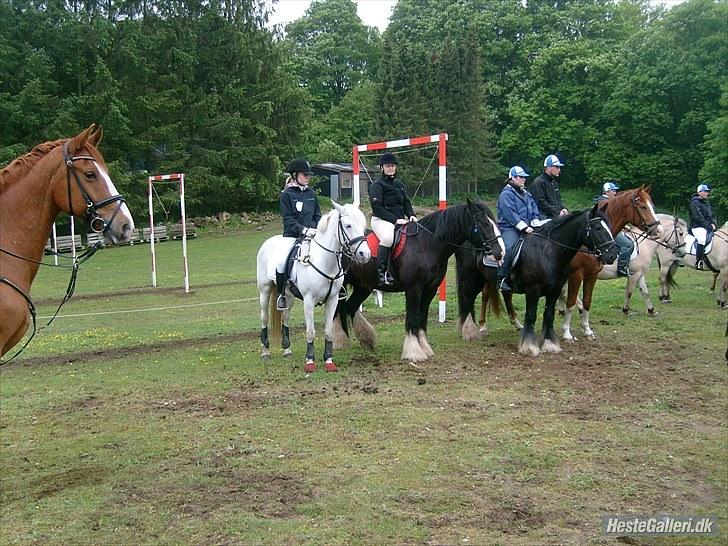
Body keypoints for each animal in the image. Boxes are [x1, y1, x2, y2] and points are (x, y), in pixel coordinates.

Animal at [256, 202, 370, 372]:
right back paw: (265, 352)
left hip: (288, 295)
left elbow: (328, 331)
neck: (324, 261)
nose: (365, 254)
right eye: (348, 225)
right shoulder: (309, 301)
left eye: (362, 225)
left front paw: (329, 361)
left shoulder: (333, 300)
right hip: (265, 290)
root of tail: (268, 242)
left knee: (285, 317)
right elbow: (310, 332)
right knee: (264, 317)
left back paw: (287, 349)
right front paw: (310, 362)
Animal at [334, 200, 500, 362]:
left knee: (350, 306)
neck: (426, 244)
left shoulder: (430, 290)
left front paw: (425, 347)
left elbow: (422, 318)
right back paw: (340, 340)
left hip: (363, 286)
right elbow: (412, 317)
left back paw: (363, 339)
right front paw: (414, 351)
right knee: (339, 308)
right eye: (483, 222)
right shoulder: (414, 289)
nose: (498, 252)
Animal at [458, 202, 616, 354]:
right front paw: (529, 346)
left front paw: (549, 344)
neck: (548, 251)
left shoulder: (555, 290)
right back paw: (470, 329)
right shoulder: (533, 291)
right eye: (597, 227)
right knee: (469, 299)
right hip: (471, 280)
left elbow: (549, 315)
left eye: (608, 226)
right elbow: (531, 316)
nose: (613, 255)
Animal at [560, 187, 664, 340]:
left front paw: (587, 330)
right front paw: (567, 333)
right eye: (643, 206)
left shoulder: (592, 275)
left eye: (652, 206)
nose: (658, 231)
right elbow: (571, 301)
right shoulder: (576, 275)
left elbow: (587, 301)